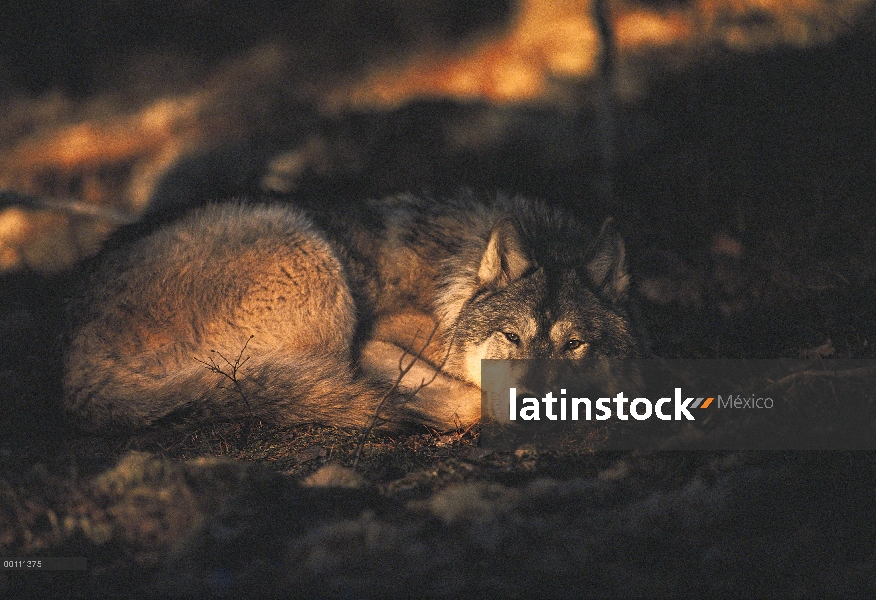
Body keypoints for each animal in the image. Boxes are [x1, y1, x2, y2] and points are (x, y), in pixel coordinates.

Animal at [60, 195, 636, 434]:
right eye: (512, 338)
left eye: (574, 345)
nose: (535, 400)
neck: (455, 288)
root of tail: (73, 350)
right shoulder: (373, 340)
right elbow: (470, 400)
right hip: (311, 258)